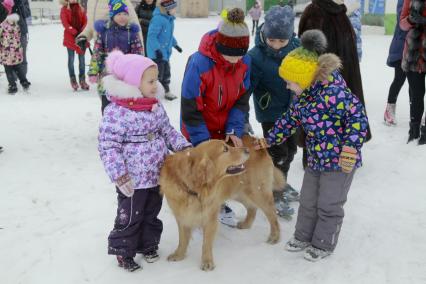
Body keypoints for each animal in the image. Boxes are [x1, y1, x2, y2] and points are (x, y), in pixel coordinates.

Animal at [160, 135, 286, 270]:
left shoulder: (210, 216)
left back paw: (275, 236)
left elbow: (206, 243)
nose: (247, 150)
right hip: (239, 191)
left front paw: (207, 261)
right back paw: (246, 224)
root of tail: (256, 140)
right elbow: (182, 239)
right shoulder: (182, 215)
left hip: (257, 191)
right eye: (225, 149)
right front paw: (179, 254)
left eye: (228, 145)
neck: (194, 189)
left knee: (272, 214)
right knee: (252, 208)